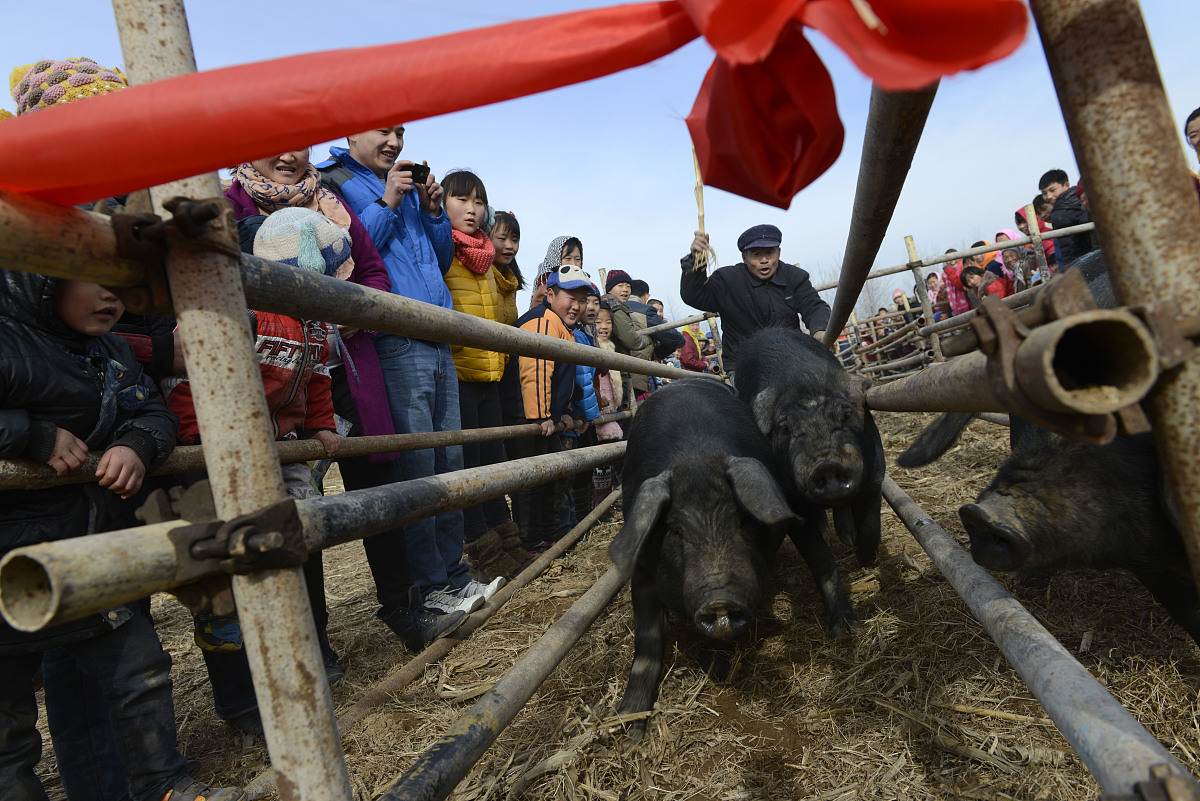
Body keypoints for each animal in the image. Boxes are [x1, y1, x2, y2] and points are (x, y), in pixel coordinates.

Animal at [614, 378, 859, 733]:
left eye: (742, 519)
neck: (695, 458)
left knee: (821, 557)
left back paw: (847, 630)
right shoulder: (642, 568)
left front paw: (716, 668)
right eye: (674, 531)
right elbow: (646, 638)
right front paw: (626, 726)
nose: (719, 600)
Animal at [734, 328, 888, 565]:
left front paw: (866, 561)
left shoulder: (876, 475)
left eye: (846, 415)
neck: (804, 382)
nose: (827, 465)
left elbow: (871, 525)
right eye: (785, 428)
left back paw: (847, 538)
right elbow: (814, 549)